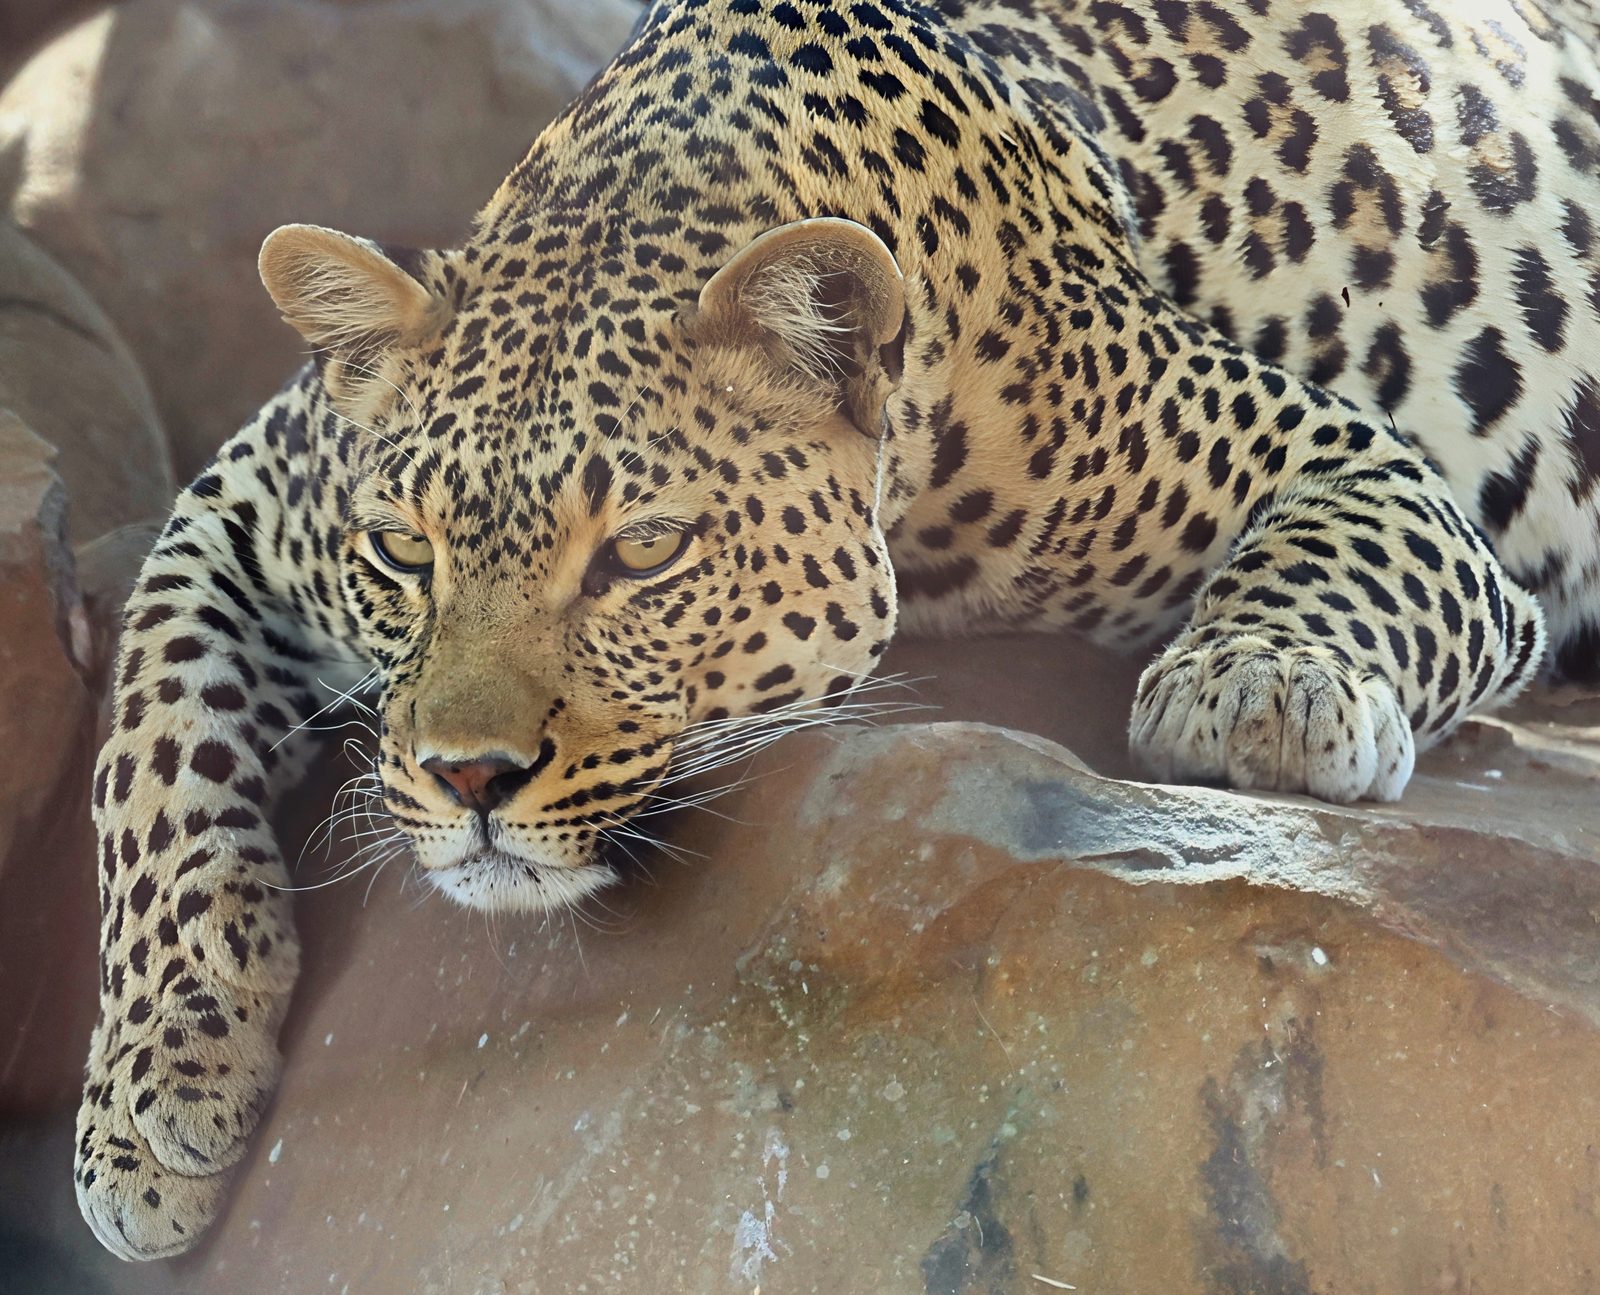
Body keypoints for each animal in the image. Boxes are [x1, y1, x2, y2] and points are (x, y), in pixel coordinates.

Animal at [73, 0, 1599, 1260]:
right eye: (402, 549)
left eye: (641, 551)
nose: (465, 778)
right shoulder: (245, 495)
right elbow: (147, 738)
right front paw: (154, 1086)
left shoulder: (1356, 459)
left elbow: (1340, 546)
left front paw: (1262, 685)